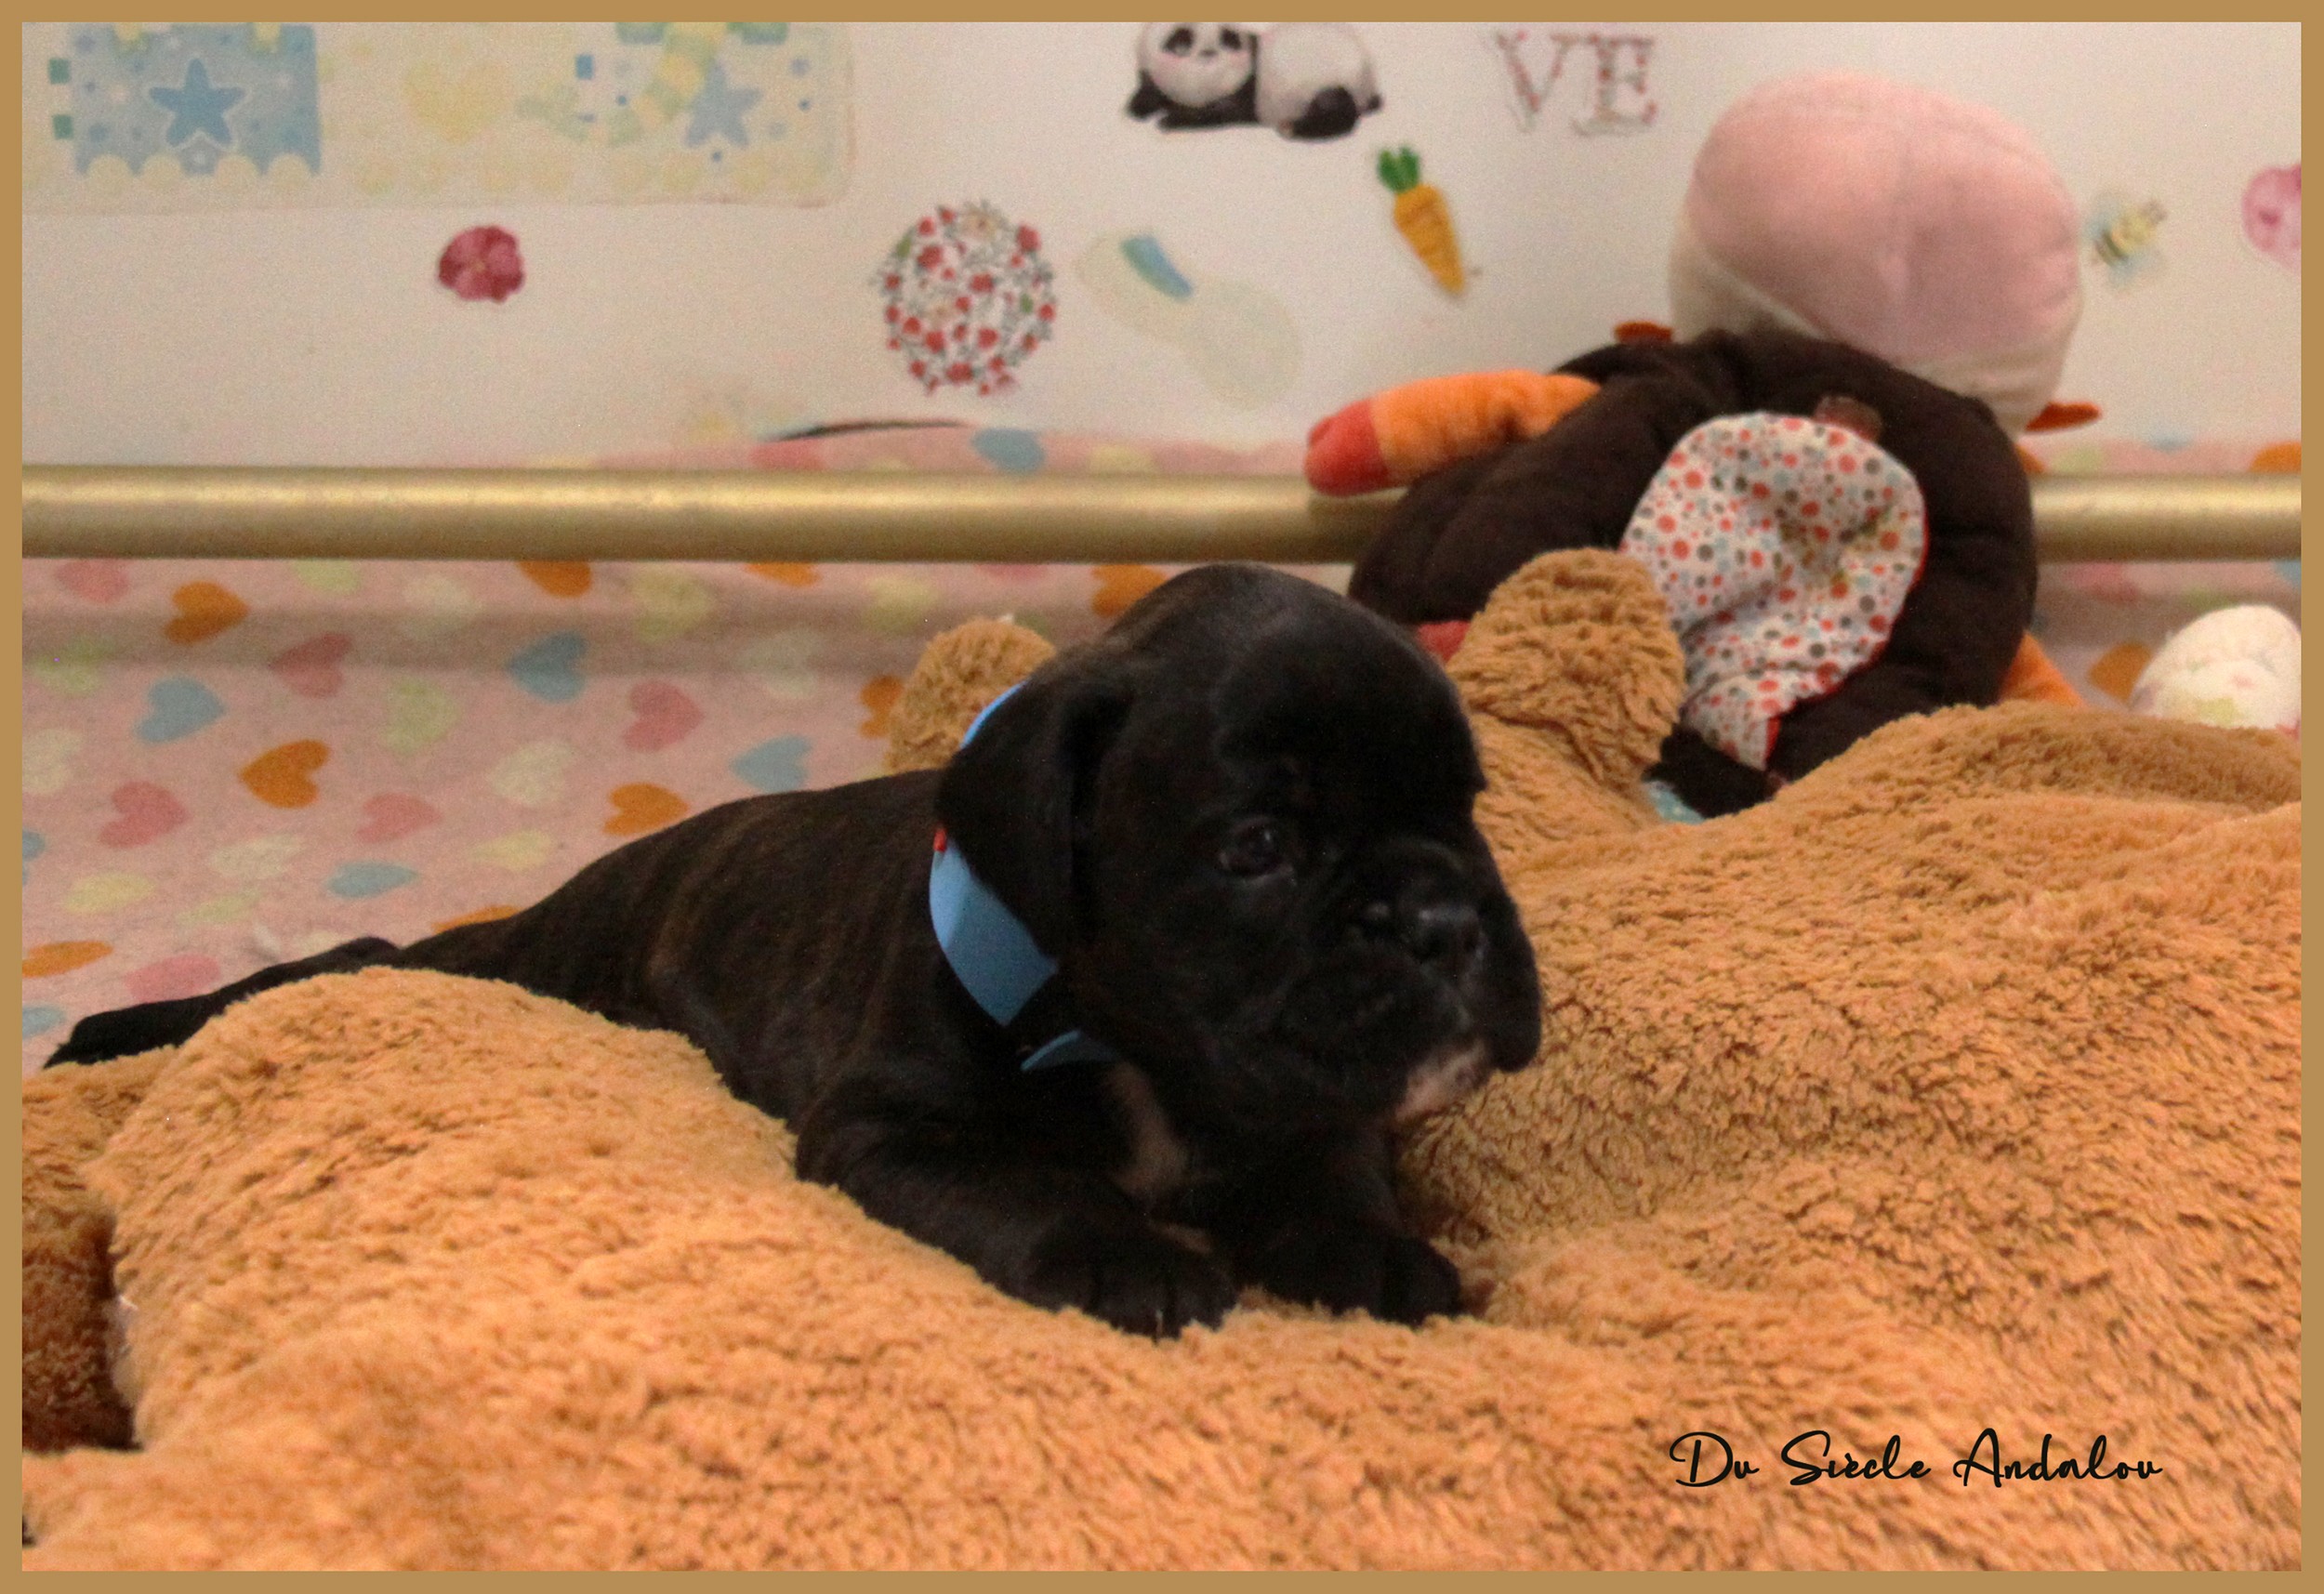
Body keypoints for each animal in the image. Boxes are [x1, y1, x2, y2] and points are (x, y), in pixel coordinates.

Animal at [47, 565, 1544, 1337]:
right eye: (1258, 846)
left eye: (1468, 804)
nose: (1441, 917)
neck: (1135, 1048)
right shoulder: (896, 1128)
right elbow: (1031, 1182)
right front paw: (1127, 1253)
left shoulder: (1313, 1100)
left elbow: (1332, 1159)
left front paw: (1372, 1252)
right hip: (508, 972)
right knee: (352, 956)